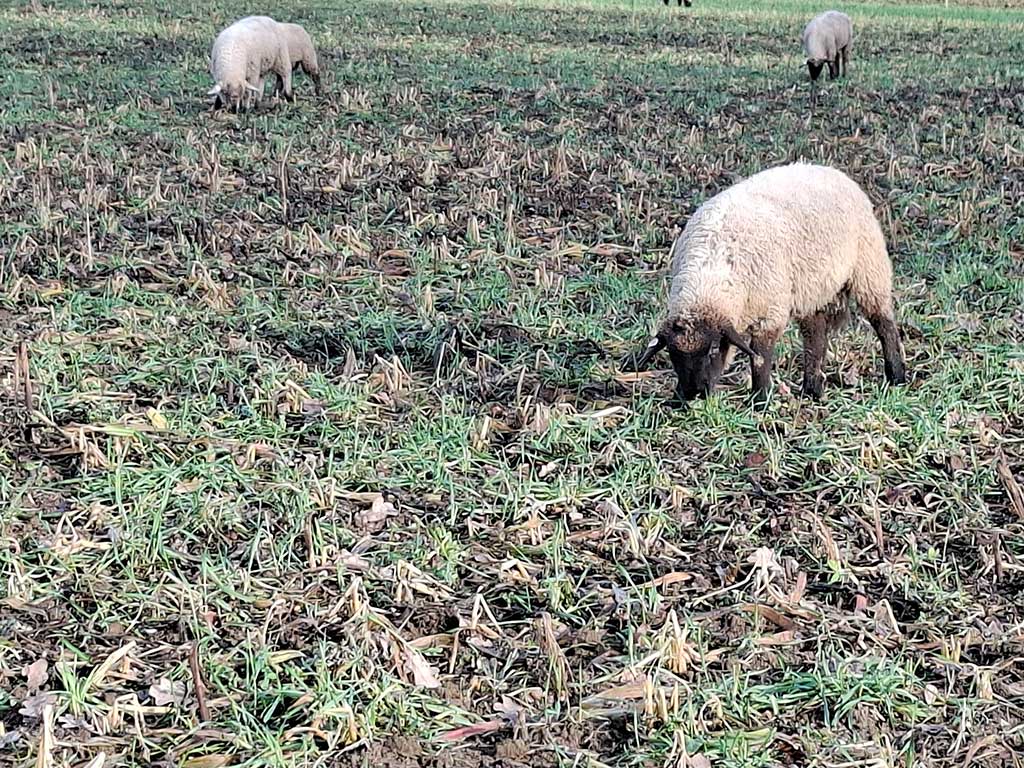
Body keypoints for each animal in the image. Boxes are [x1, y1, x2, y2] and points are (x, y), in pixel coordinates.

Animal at [631, 163, 907, 404]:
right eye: (673, 354)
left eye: (713, 349)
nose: (693, 394)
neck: (711, 273)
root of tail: (828, 169)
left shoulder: (770, 313)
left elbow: (760, 358)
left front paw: (760, 399)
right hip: (811, 287)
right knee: (815, 334)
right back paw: (811, 389)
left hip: (869, 268)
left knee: (883, 322)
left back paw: (896, 376)